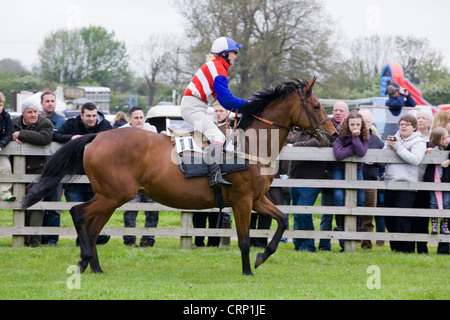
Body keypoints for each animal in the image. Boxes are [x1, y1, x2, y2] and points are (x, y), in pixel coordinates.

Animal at [22, 77, 338, 276]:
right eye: (316, 105)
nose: (334, 133)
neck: (250, 145)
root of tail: (96, 137)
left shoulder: (258, 199)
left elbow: (282, 220)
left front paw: (262, 257)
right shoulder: (242, 201)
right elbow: (245, 240)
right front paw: (249, 270)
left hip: (111, 197)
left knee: (92, 226)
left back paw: (95, 267)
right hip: (114, 195)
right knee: (78, 213)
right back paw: (85, 260)